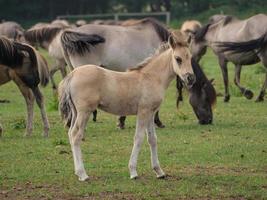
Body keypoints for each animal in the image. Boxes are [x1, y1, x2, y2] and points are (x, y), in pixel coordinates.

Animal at [58, 31, 197, 181]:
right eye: (178, 59)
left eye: (190, 57)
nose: (190, 78)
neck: (151, 77)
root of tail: (72, 75)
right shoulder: (143, 112)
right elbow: (139, 138)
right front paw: (133, 172)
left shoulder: (151, 113)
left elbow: (152, 139)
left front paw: (159, 172)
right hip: (84, 112)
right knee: (76, 135)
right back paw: (83, 174)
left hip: (75, 112)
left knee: (70, 133)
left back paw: (78, 172)